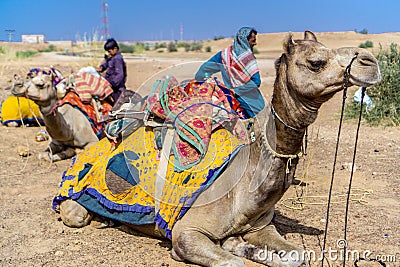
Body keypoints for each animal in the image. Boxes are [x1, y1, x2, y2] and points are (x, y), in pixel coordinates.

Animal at [54, 30, 382, 266]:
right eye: (316, 62)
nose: (370, 61)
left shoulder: (261, 227)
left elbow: (298, 255)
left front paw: (237, 244)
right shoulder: (186, 232)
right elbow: (229, 262)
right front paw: (233, 248)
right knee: (74, 210)